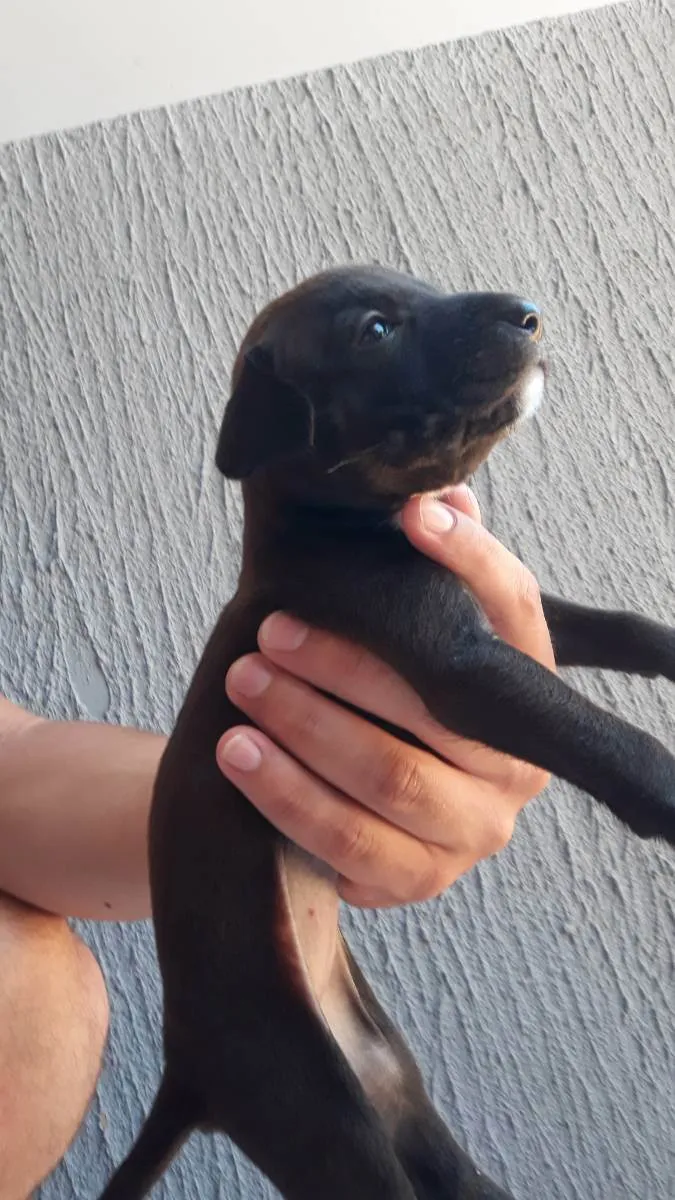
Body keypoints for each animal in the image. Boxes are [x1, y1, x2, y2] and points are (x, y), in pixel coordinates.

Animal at [99, 267, 672, 1195]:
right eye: (374, 330)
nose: (529, 314)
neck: (330, 522)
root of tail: (186, 1069)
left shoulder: (503, 615)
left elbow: (611, 627)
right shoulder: (463, 668)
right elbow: (609, 740)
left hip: (394, 1095)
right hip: (323, 1119)